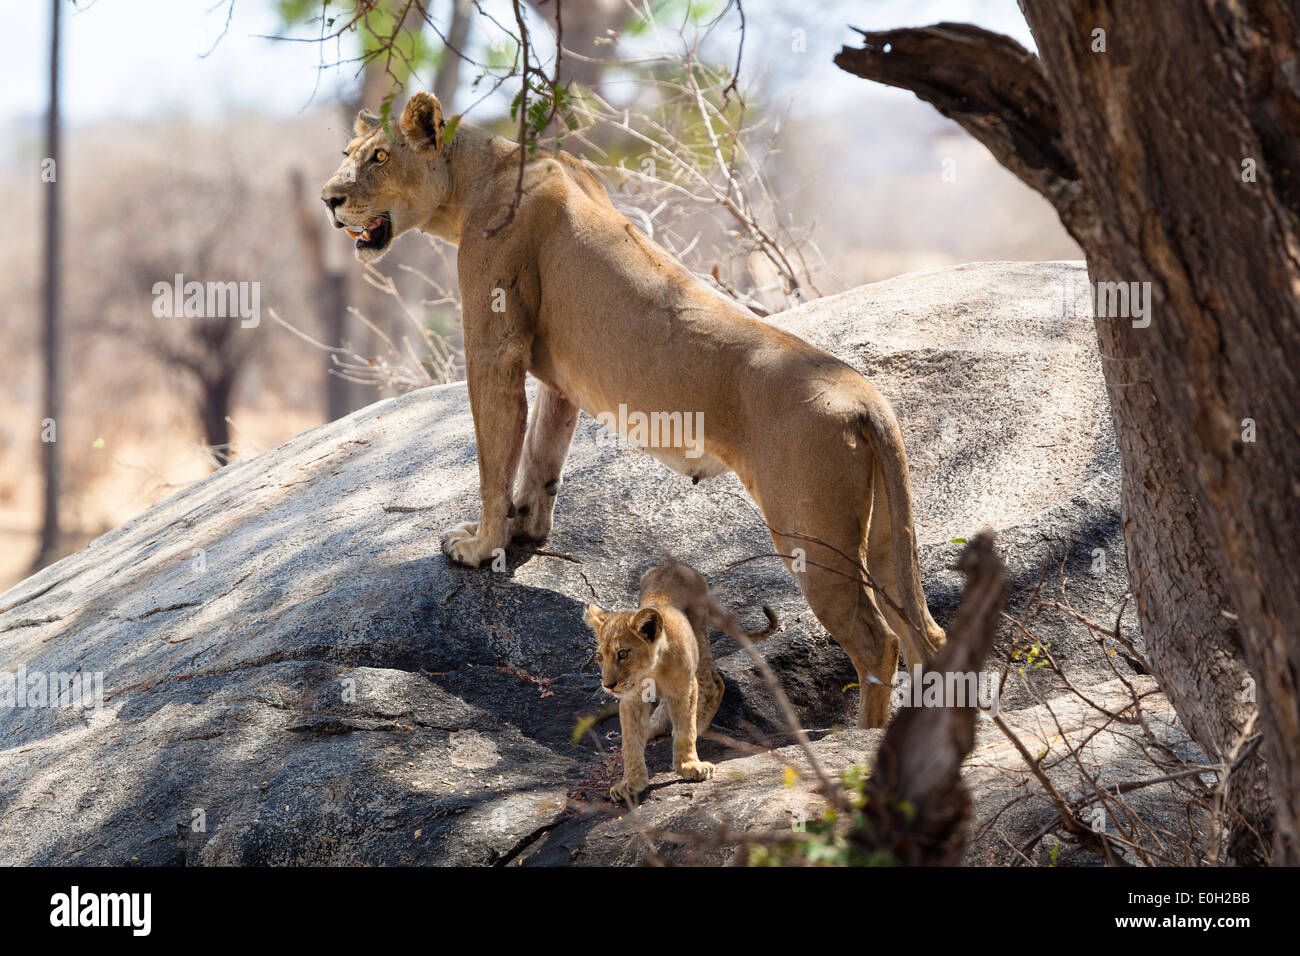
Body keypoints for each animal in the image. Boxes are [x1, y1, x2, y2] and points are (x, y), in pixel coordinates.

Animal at [321, 91, 947, 727]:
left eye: (378, 157)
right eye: (346, 152)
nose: (329, 200)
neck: (476, 175)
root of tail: (866, 396)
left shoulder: (495, 346)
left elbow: (496, 458)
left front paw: (479, 548)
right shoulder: (560, 378)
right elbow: (542, 455)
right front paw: (527, 531)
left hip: (812, 534)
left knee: (877, 641)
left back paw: (867, 737)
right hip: (884, 536)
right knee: (925, 632)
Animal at [585, 560, 778, 802]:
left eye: (623, 654)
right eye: (600, 657)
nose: (608, 685)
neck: (651, 670)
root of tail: (677, 565)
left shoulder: (685, 688)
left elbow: (685, 729)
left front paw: (690, 766)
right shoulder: (631, 699)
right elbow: (630, 742)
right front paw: (631, 783)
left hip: (699, 637)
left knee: (714, 684)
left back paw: (699, 723)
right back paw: (652, 726)